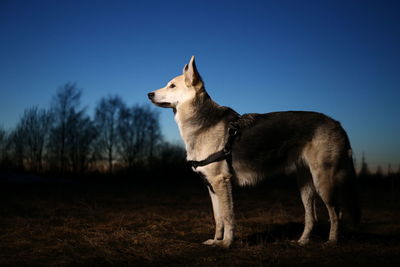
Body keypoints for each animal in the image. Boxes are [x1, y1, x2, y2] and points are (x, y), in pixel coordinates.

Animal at [147, 56, 360, 249]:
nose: (148, 94)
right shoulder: (211, 186)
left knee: (336, 212)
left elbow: (228, 217)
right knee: (312, 217)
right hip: (306, 185)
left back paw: (332, 241)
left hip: (323, 181)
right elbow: (218, 218)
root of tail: (337, 124)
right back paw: (302, 241)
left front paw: (226, 244)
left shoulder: (222, 183)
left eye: (172, 86)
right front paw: (216, 241)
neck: (201, 122)